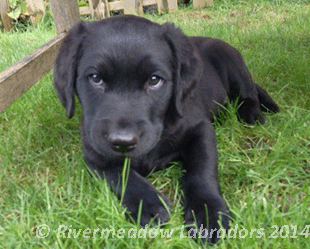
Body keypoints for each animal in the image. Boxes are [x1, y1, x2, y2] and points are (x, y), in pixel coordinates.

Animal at [52, 14, 278, 242]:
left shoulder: (200, 128)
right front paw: (147, 204)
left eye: (154, 80)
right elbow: (119, 174)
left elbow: (201, 169)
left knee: (249, 92)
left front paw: (207, 212)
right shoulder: (93, 151)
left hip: (231, 61)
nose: (123, 142)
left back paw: (251, 114)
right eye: (95, 78)